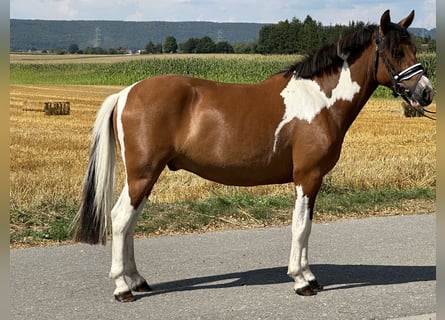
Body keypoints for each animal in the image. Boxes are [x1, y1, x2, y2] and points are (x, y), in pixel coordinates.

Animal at [73, 8, 434, 302]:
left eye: (415, 49)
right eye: (396, 51)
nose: (426, 92)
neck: (319, 100)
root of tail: (126, 93)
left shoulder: (311, 179)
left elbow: (306, 225)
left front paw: (308, 276)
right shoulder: (307, 176)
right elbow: (300, 226)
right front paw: (301, 281)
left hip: (147, 175)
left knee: (130, 222)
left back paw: (137, 281)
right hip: (143, 173)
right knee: (121, 218)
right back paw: (123, 288)